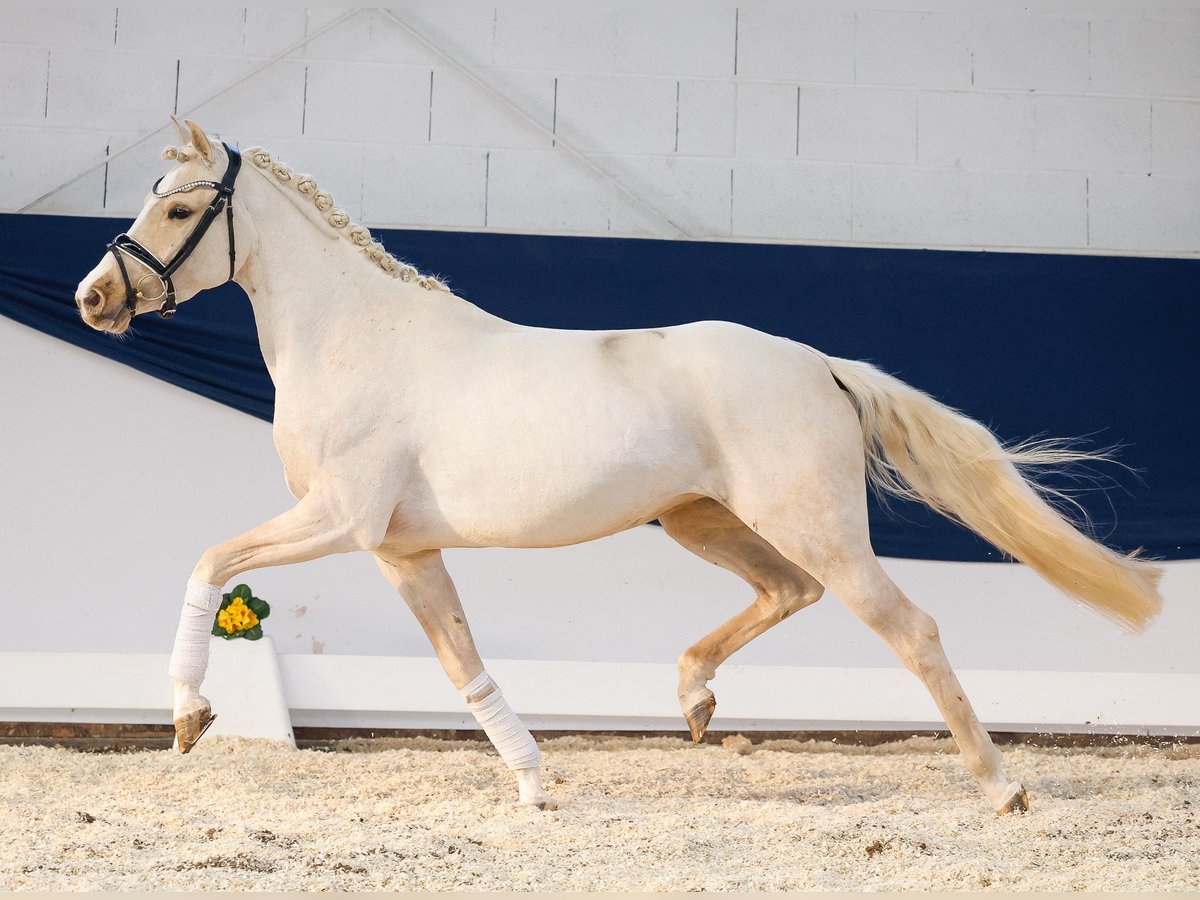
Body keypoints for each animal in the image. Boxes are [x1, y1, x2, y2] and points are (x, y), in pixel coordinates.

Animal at [75, 120, 1161, 816]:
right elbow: (463, 664)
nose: (93, 298)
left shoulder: (341, 520)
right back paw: (694, 702)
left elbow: (210, 562)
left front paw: (189, 717)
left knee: (911, 629)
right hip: (704, 519)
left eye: (177, 209)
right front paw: (532, 787)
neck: (355, 339)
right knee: (788, 591)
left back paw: (1003, 787)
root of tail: (819, 364)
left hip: (813, 526)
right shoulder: (401, 549)